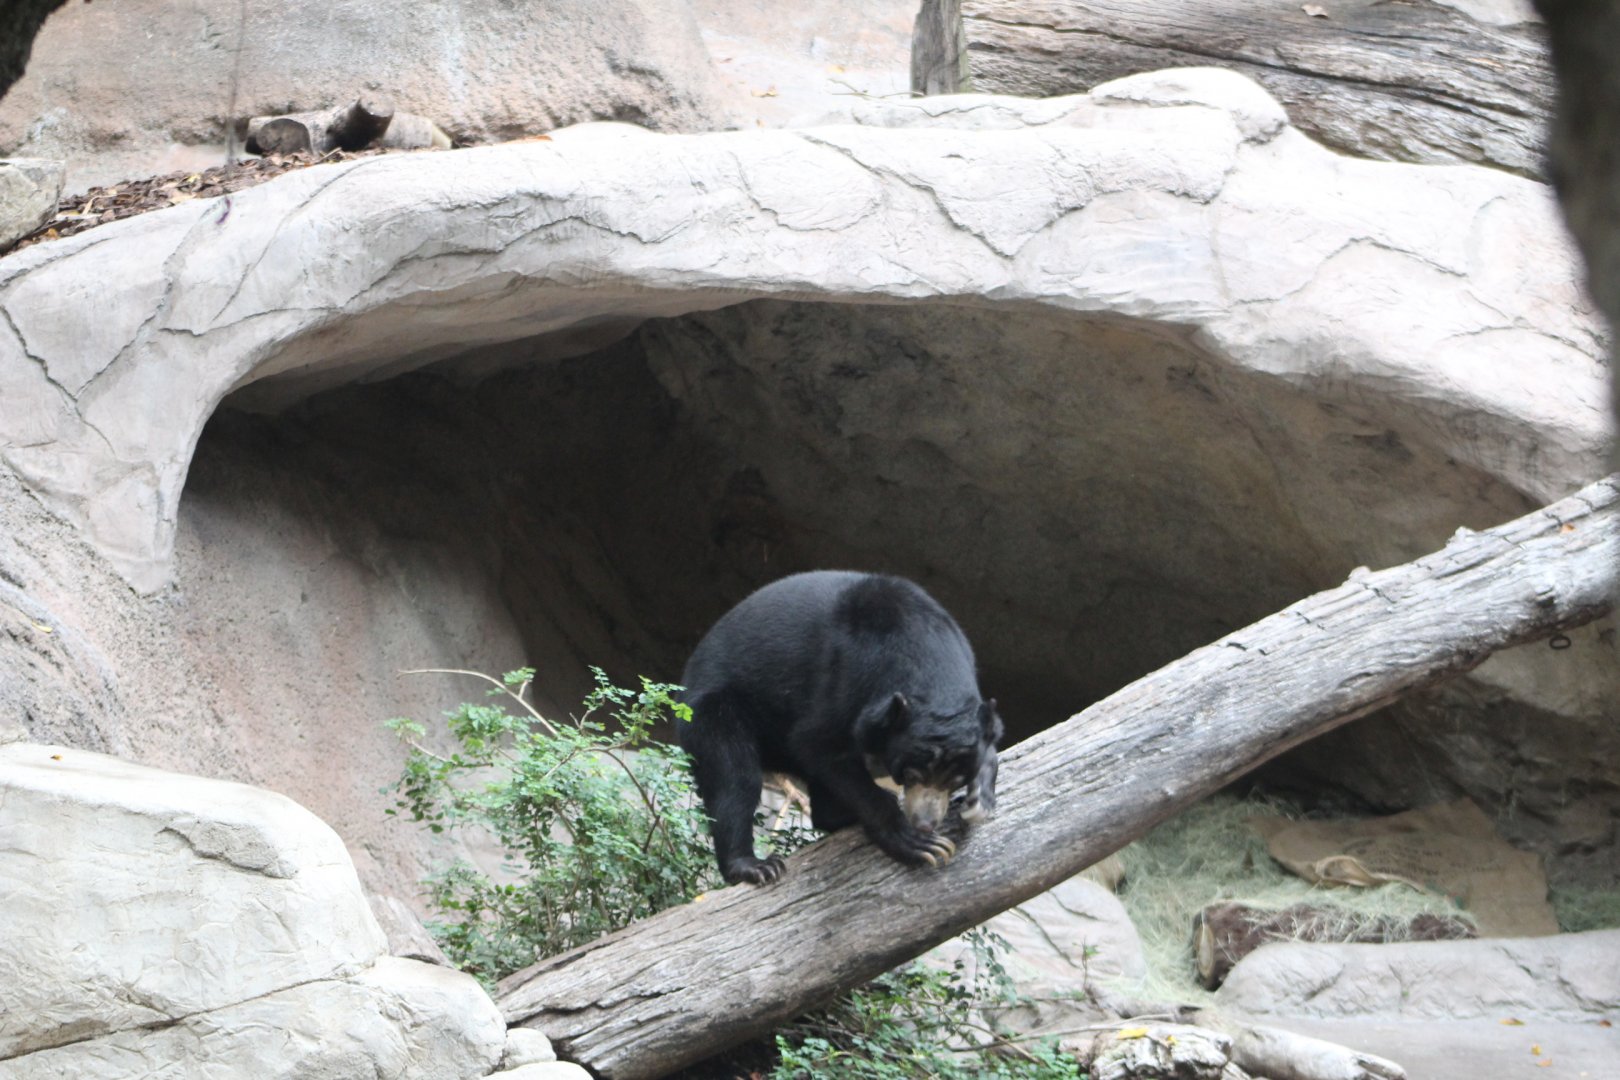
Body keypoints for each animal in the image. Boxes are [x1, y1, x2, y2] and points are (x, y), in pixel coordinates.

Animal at [678, 570, 1003, 885]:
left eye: (956, 779)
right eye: (910, 774)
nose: (925, 824)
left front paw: (981, 798)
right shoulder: (847, 679)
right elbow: (816, 744)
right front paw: (919, 844)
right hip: (712, 710)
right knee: (734, 777)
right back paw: (754, 866)